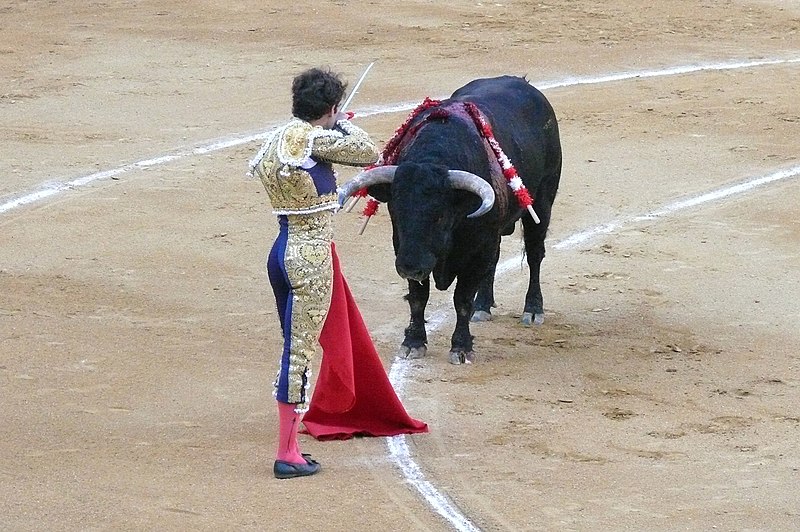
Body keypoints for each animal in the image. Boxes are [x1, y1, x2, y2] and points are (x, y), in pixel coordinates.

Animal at [340, 75, 564, 364]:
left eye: (439, 216)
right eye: (396, 213)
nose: (409, 267)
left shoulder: (474, 251)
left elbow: (462, 299)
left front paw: (461, 346)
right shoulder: (405, 247)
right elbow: (418, 297)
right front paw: (413, 342)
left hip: (543, 201)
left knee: (535, 254)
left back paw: (533, 309)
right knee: (494, 262)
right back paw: (484, 306)